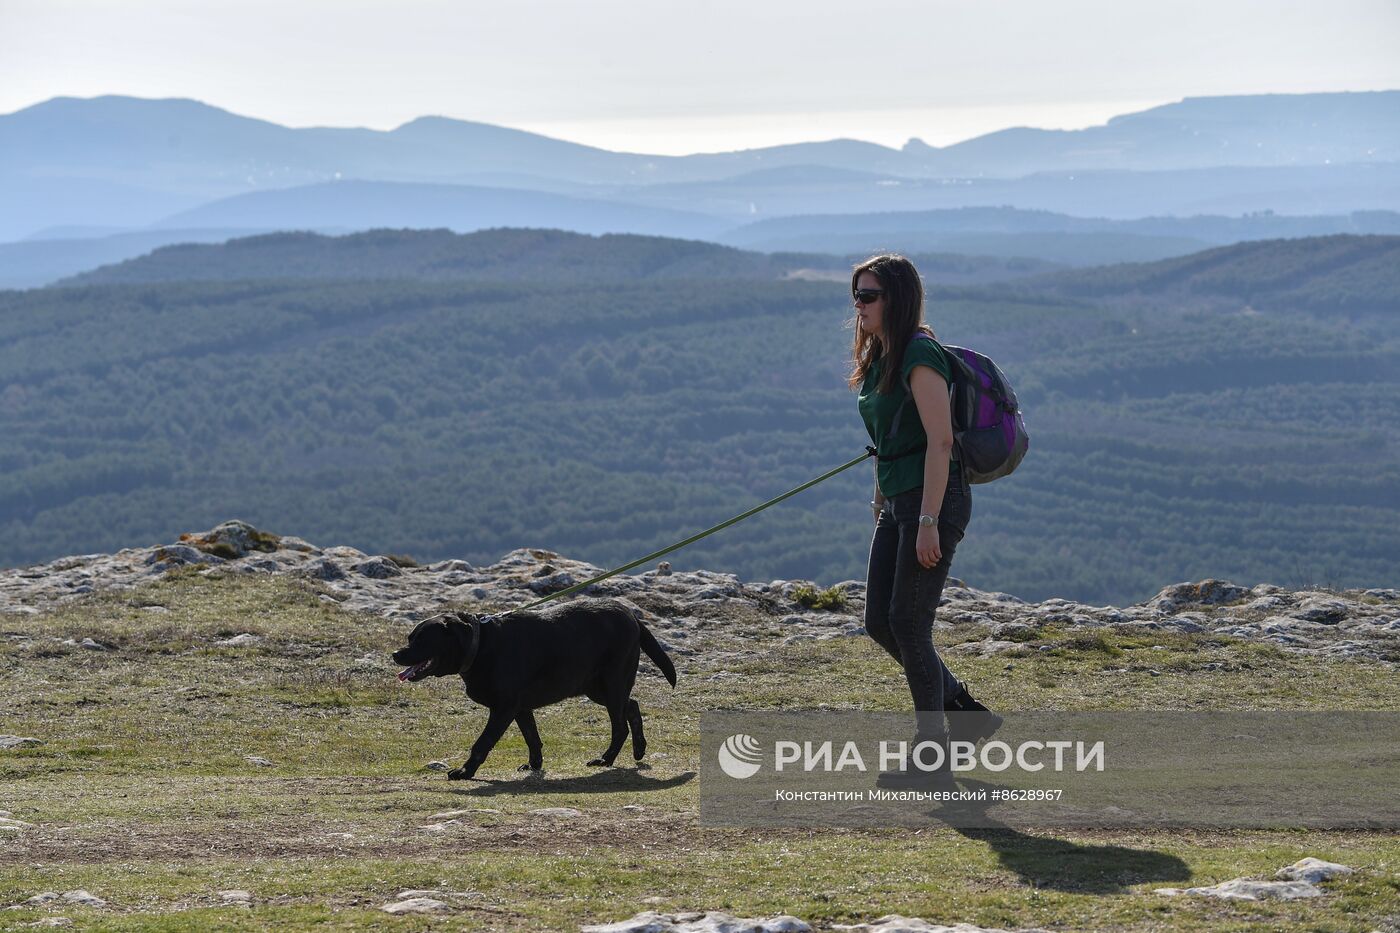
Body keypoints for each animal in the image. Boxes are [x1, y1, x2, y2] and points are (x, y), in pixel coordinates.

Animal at [394, 596, 677, 778]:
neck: (480, 646)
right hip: (597, 688)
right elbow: (532, 737)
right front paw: (534, 765)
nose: (396, 654)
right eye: (410, 637)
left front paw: (465, 771)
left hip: (611, 684)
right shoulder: (520, 708)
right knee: (633, 706)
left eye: (422, 639)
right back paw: (639, 749)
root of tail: (631, 616)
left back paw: (605, 759)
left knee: (620, 726)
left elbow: (482, 743)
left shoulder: (503, 708)